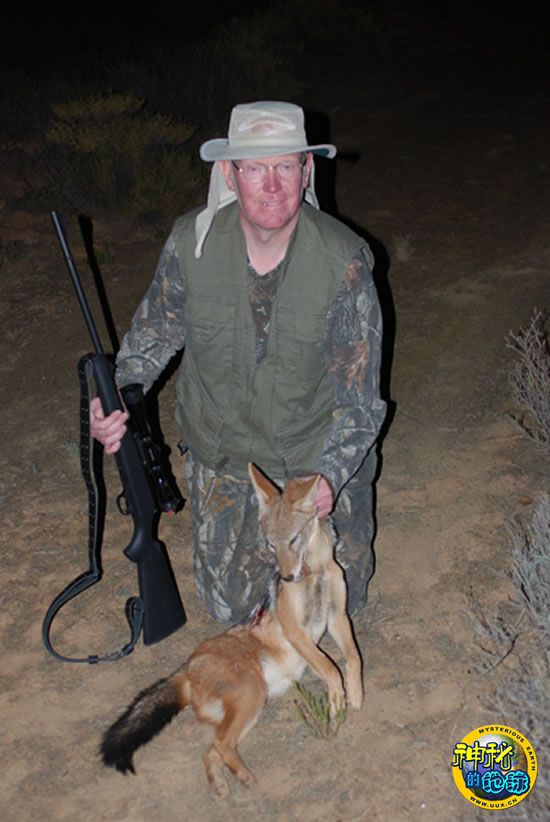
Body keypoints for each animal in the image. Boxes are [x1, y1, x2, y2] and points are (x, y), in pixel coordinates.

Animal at [101, 464, 363, 796]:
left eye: (294, 539)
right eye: (271, 544)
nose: (287, 577)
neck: (314, 571)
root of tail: (186, 668)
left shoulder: (337, 617)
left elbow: (352, 659)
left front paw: (355, 694)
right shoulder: (296, 631)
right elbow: (330, 669)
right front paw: (337, 700)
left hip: (250, 707)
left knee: (210, 749)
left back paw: (221, 783)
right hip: (252, 696)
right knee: (221, 745)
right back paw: (246, 778)